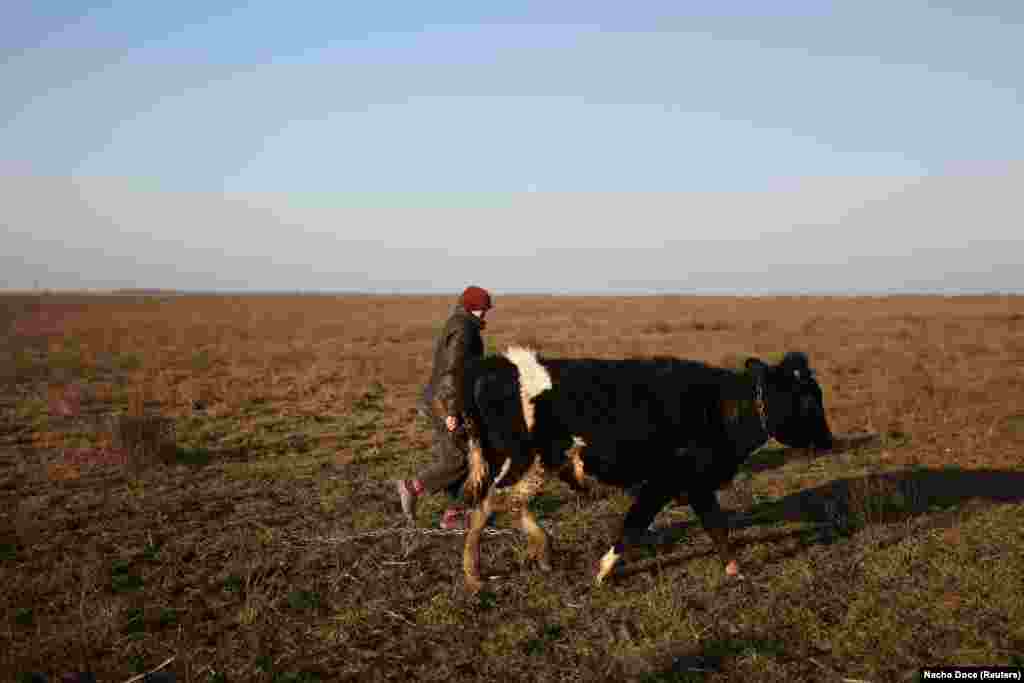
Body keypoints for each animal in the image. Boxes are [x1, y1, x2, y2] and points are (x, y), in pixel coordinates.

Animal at [454, 348, 831, 593]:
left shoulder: (697, 484)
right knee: (491, 503)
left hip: (530, 463)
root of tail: (496, 364)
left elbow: (716, 525)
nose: (828, 441)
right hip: (526, 461)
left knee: (508, 502)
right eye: (808, 400)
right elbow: (635, 523)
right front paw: (603, 572)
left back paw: (541, 551)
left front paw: (734, 569)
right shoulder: (665, 480)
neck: (722, 406)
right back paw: (474, 574)